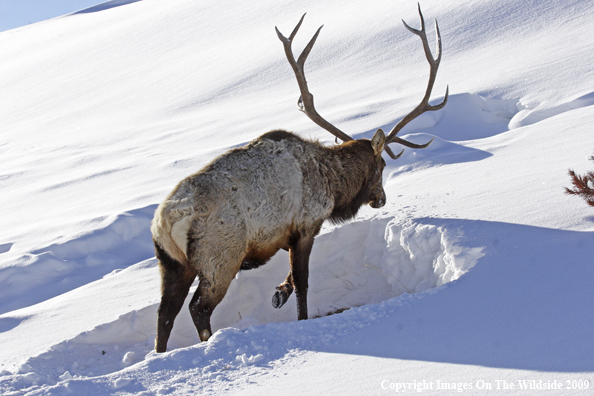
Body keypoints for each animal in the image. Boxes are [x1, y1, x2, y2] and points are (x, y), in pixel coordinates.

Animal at [150, 5, 446, 352]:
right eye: (382, 165)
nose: (381, 199)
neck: (332, 185)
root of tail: (166, 221)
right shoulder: (305, 225)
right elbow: (303, 282)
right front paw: (297, 314)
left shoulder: (282, 236)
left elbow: (291, 278)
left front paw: (278, 292)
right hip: (220, 256)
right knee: (199, 307)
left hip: (172, 264)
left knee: (165, 314)